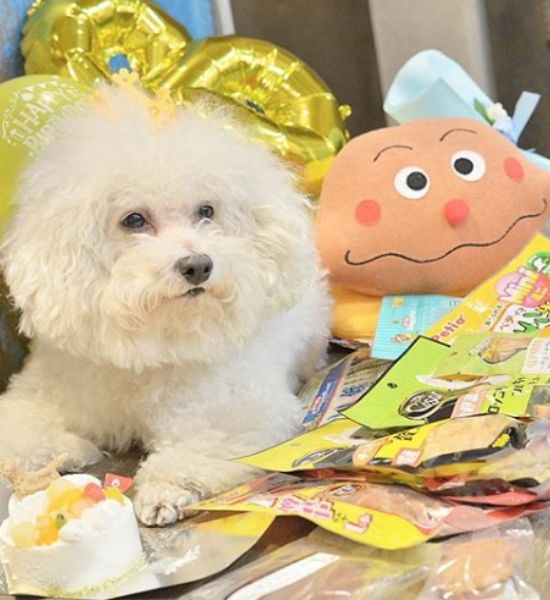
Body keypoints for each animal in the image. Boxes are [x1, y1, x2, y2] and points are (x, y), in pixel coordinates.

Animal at [0, 84, 331, 526]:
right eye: (134, 219)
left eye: (206, 210)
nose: (198, 265)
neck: (149, 348)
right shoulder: (42, 395)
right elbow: (24, 433)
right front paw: (70, 449)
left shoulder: (237, 409)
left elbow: (199, 445)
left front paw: (164, 488)